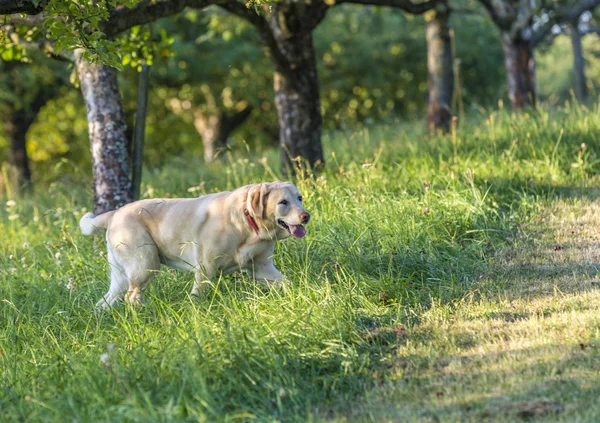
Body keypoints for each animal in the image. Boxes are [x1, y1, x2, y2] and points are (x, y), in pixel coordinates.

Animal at [79, 181, 310, 308]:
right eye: (283, 203)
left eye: (299, 198)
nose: (306, 216)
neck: (247, 223)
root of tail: (114, 213)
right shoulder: (206, 268)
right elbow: (199, 294)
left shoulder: (263, 268)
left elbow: (285, 283)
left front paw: (302, 293)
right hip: (145, 264)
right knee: (132, 297)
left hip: (120, 277)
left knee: (105, 301)